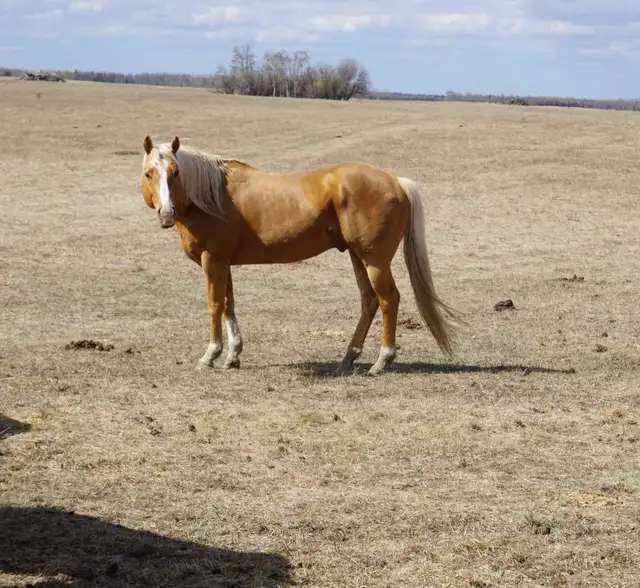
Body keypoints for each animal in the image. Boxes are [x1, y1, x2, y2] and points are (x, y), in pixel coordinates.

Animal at [140, 135, 459, 376]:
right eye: (149, 173)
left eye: (175, 173)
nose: (166, 214)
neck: (212, 196)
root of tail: (396, 181)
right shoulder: (224, 262)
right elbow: (230, 305)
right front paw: (233, 355)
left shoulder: (213, 260)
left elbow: (215, 306)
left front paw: (210, 355)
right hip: (357, 256)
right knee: (369, 301)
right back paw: (348, 357)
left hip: (374, 260)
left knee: (388, 299)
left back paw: (382, 360)